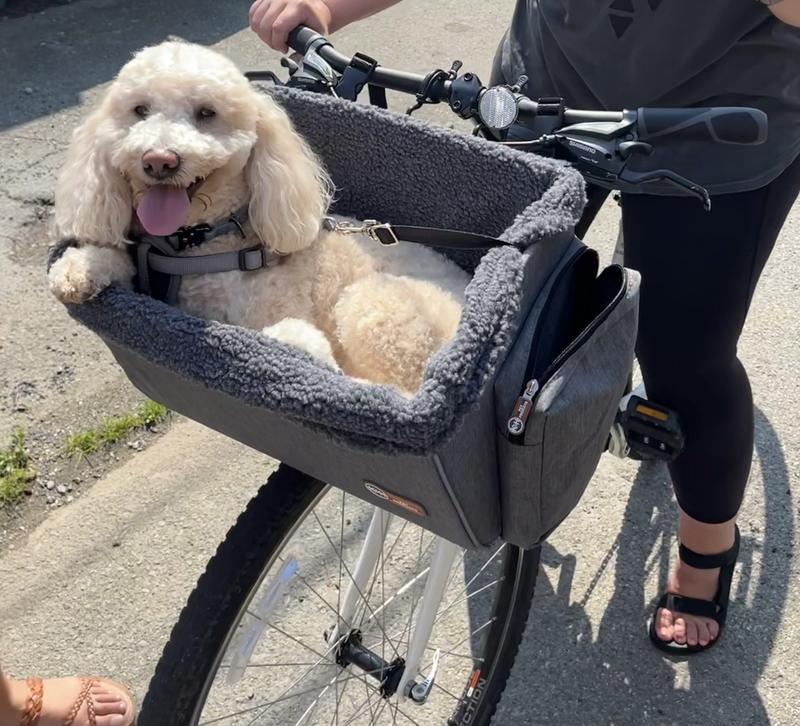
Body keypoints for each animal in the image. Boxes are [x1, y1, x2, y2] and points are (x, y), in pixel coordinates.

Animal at [50, 39, 472, 396]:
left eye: (207, 113)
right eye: (139, 111)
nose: (158, 160)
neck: (196, 244)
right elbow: (115, 259)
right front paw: (79, 267)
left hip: (374, 307)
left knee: (389, 390)